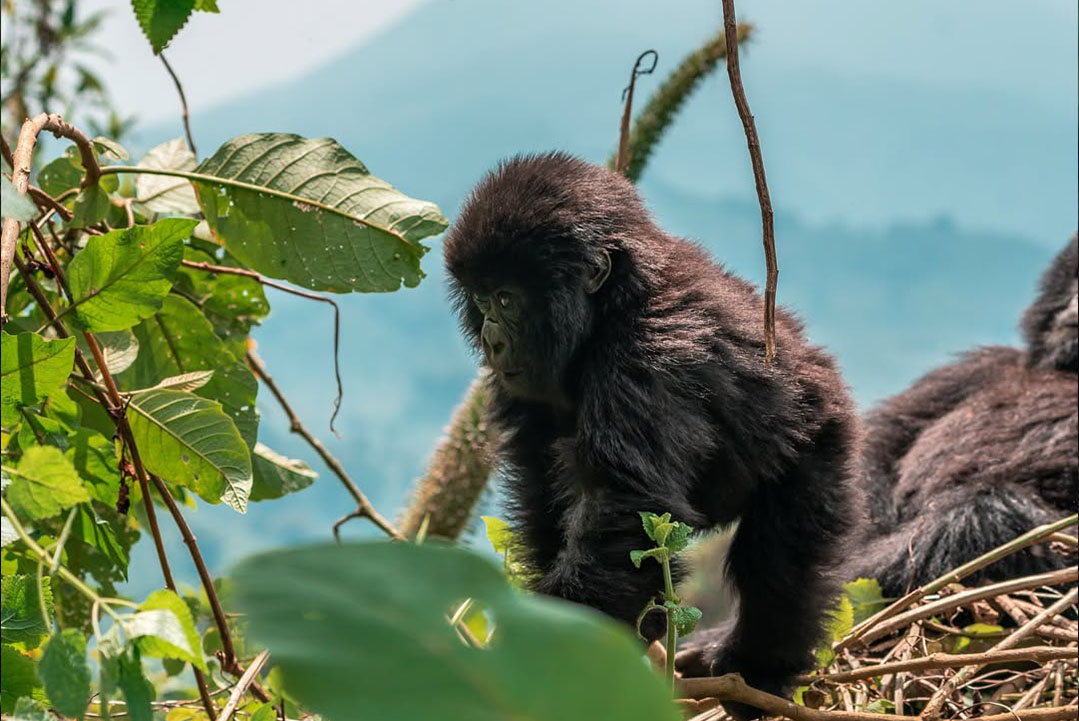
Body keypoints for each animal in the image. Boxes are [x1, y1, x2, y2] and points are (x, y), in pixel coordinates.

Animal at [444, 152, 863, 720]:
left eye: (507, 299)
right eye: (480, 298)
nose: (492, 339)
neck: (613, 302)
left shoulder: (646, 356)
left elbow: (625, 513)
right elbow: (544, 493)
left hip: (820, 439)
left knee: (780, 564)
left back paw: (759, 672)